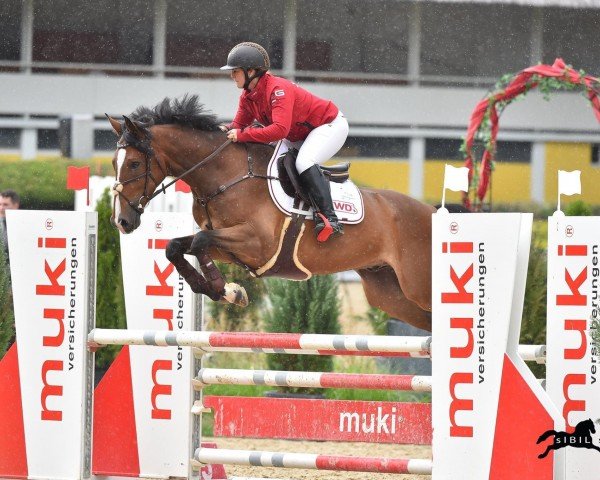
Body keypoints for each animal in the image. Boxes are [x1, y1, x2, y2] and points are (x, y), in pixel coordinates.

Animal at [106, 95, 436, 332]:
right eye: (113, 162)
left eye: (134, 163)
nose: (122, 222)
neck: (224, 175)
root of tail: (432, 212)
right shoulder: (229, 248)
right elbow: (176, 247)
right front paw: (217, 290)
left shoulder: (257, 243)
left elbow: (199, 242)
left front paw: (228, 291)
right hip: (390, 293)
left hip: (418, 286)